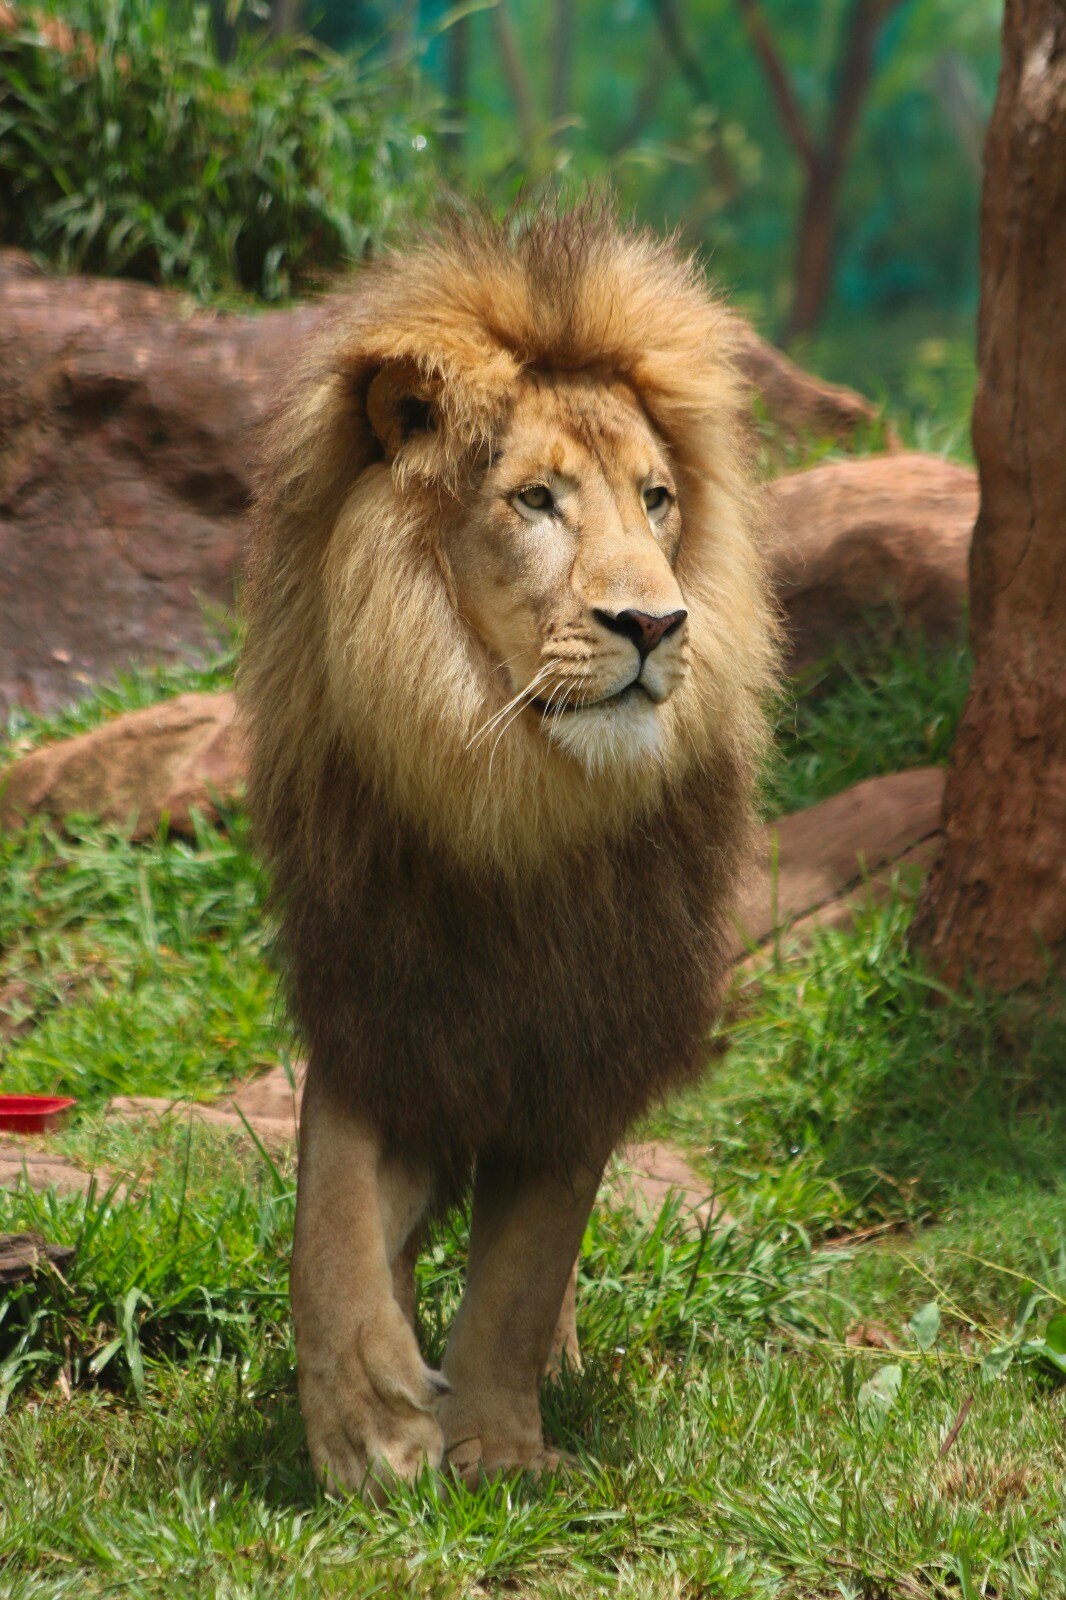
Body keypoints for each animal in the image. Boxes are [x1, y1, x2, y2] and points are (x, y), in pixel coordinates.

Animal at [240, 204, 775, 1498]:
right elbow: (330, 1214)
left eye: (657, 498)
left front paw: (494, 1444)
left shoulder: (585, 1034)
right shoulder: (385, 1004)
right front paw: (368, 1419)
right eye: (535, 500)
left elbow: (526, 1269)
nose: (654, 622)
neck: (514, 799)